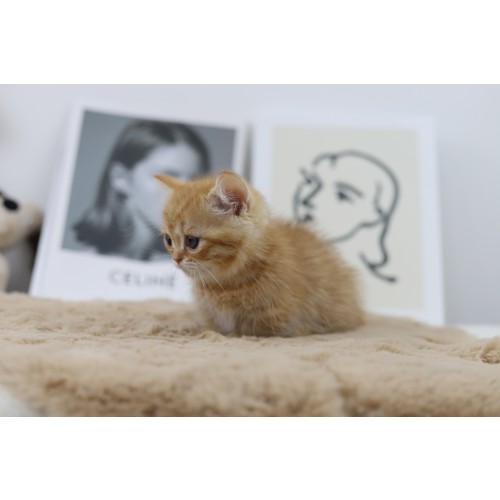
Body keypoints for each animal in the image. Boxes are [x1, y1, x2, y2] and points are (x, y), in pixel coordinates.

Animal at [156, 170, 364, 337]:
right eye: (168, 240)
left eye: (192, 241)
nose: (176, 259)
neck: (225, 284)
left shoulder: (279, 323)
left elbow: (242, 331)